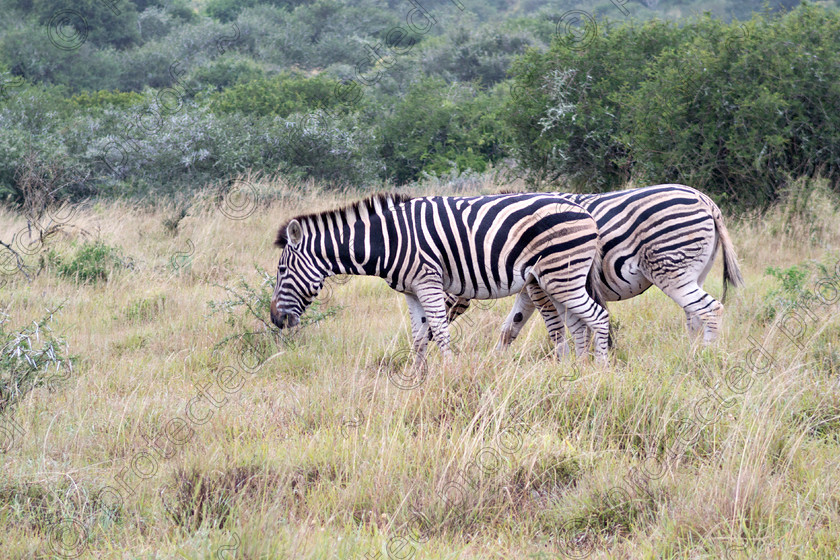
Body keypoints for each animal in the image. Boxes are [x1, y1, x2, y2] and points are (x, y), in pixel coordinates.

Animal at [270, 191, 612, 364]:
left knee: (598, 317)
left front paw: (448, 376)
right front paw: (418, 379)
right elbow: (419, 337)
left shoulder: (428, 282)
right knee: (578, 325)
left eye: (281, 271)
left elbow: (440, 331)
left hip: (561, 276)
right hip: (553, 279)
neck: (387, 240)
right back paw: (578, 374)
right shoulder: (411, 291)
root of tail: (585, 211)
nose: (275, 319)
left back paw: (599, 372)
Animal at [442, 184, 744, 354]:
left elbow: (555, 329)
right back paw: (691, 355)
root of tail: (705, 200)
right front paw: (495, 365)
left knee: (710, 310)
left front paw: (568, 362)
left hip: (671, 270)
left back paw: (705, 357)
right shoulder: (532, 287)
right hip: (695, 273)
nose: (432, 337)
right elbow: (510, 328)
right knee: (694, 315)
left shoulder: (539, 286)